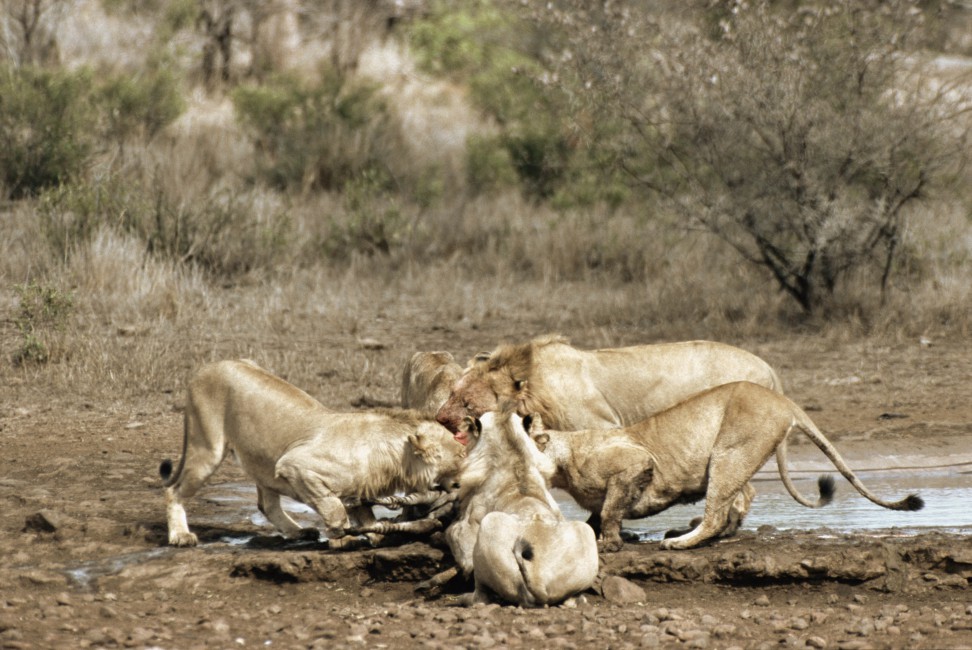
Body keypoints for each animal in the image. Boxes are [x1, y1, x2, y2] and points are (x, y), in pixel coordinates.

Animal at [161, 360, 466, 548]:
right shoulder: (295, 465)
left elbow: (364, 513)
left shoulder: (358, 489)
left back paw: (297, 531)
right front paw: (343, 539)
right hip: (208, 447)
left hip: (262, 460)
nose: (463, 483)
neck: (394, 459)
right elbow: (334, 506)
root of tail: (205, 368)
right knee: (174, 490)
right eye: (461, 457)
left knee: (267, 504)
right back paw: (180, 536)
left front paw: (376, 535)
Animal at [444, 412, 596, 604]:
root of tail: (539, 579)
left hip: (489, 524)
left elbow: (451, 534)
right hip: (585, 529)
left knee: (481, 595)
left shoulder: (467, 528)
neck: (515, 461)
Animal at [528, 380, 924, 552]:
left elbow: (610, 508)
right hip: (736, 459)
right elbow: (597, 515)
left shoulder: (637, 462)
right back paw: (703, 532)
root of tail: (784, 400)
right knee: (743, 497)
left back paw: (680, 541)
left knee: (718, 513)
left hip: (727, 453)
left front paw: (610, 543)